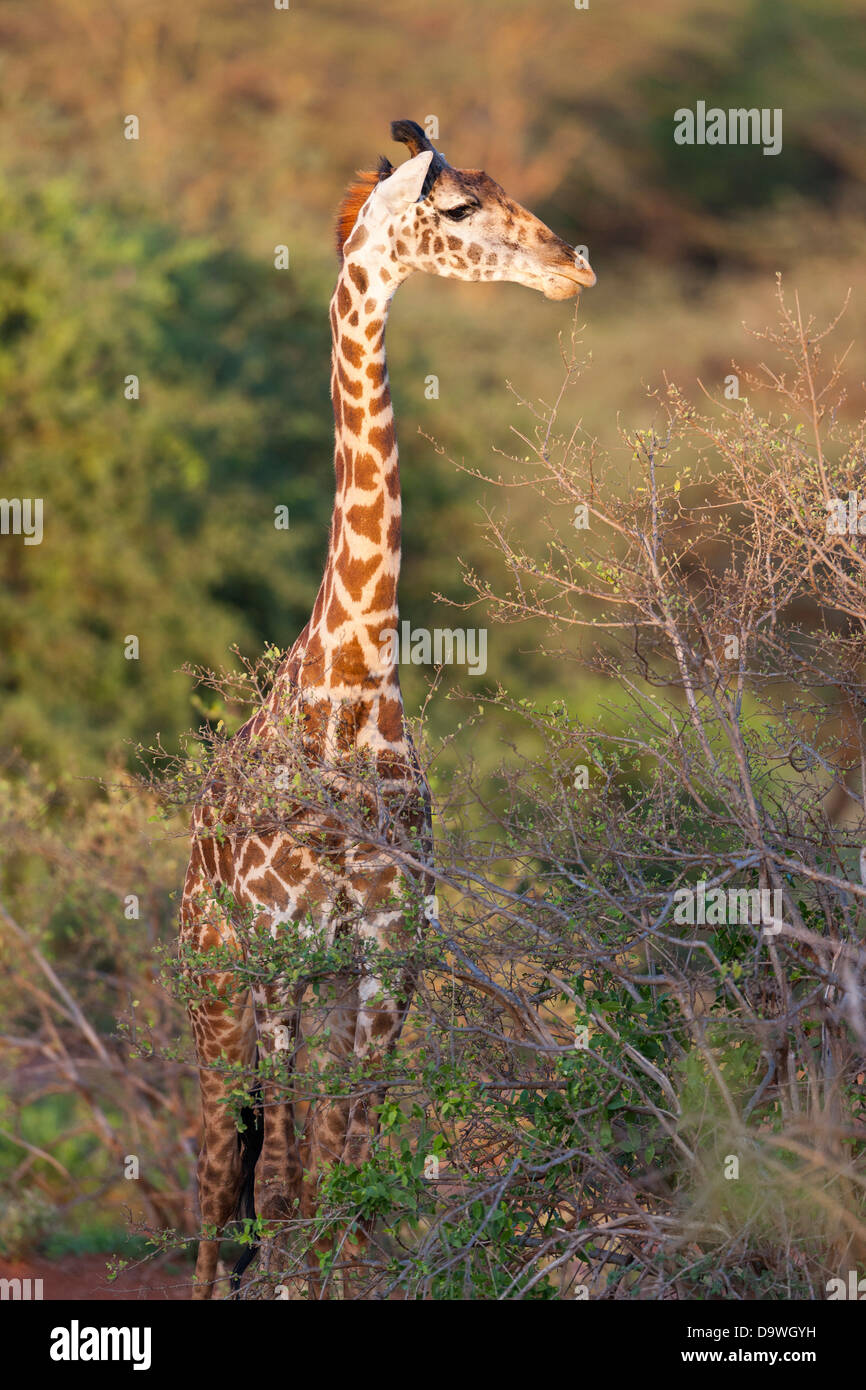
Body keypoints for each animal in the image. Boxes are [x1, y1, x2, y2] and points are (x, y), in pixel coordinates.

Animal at [179, 113, 592, 1295]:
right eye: (456, 207)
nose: (574, 264)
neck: (355, 692)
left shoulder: (386, 951)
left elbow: (347, 1187)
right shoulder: (281, 953)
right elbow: (286, 1194)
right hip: (214, 984)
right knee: (217, 1193)